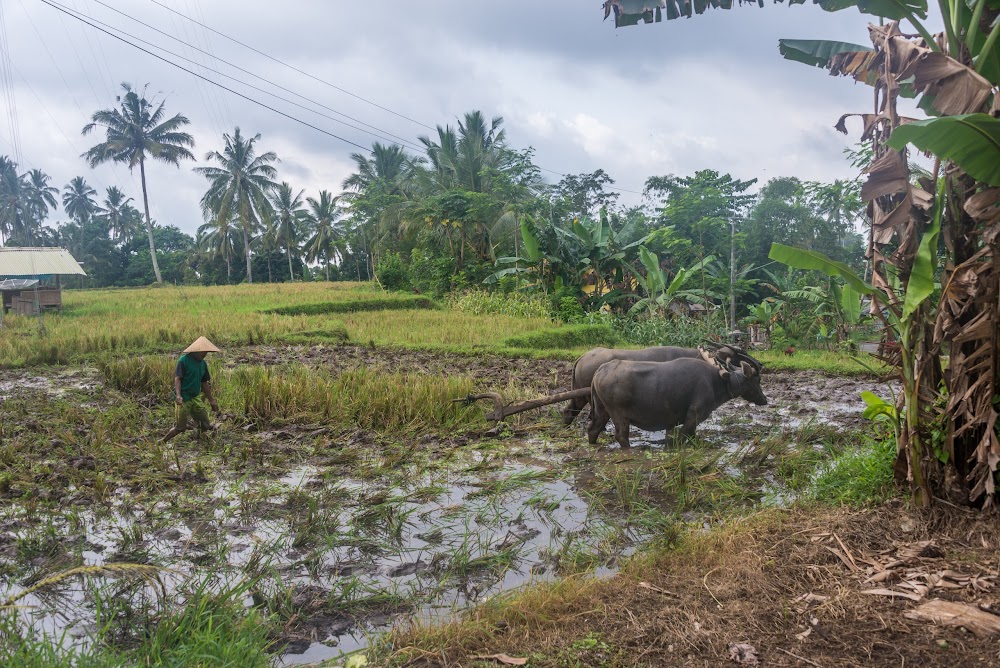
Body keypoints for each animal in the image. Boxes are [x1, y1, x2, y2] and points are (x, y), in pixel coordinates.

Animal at [588, 358, 768, 446]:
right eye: (758, 379)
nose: (765, 399)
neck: (717, 381)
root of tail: (600, 370)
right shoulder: (694, 416)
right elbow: (682, 437)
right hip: (619, 415)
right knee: (621, 436)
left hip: (602, 410)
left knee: (592, 430)